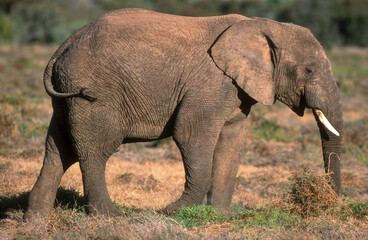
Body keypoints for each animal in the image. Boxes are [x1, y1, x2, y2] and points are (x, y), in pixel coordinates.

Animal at [23, 7, 342, 219]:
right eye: (309, 70)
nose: (333, 203)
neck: (265, 26)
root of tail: (64, 44)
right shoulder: (211, 83)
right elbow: (190, 134)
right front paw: (172, 212)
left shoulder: (237, 90)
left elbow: (232, 141)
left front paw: (221, 216)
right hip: (93, 95)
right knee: (95, 150)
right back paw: (111, 217)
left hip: (66, 93)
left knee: (58, 148)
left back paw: (36, 219)